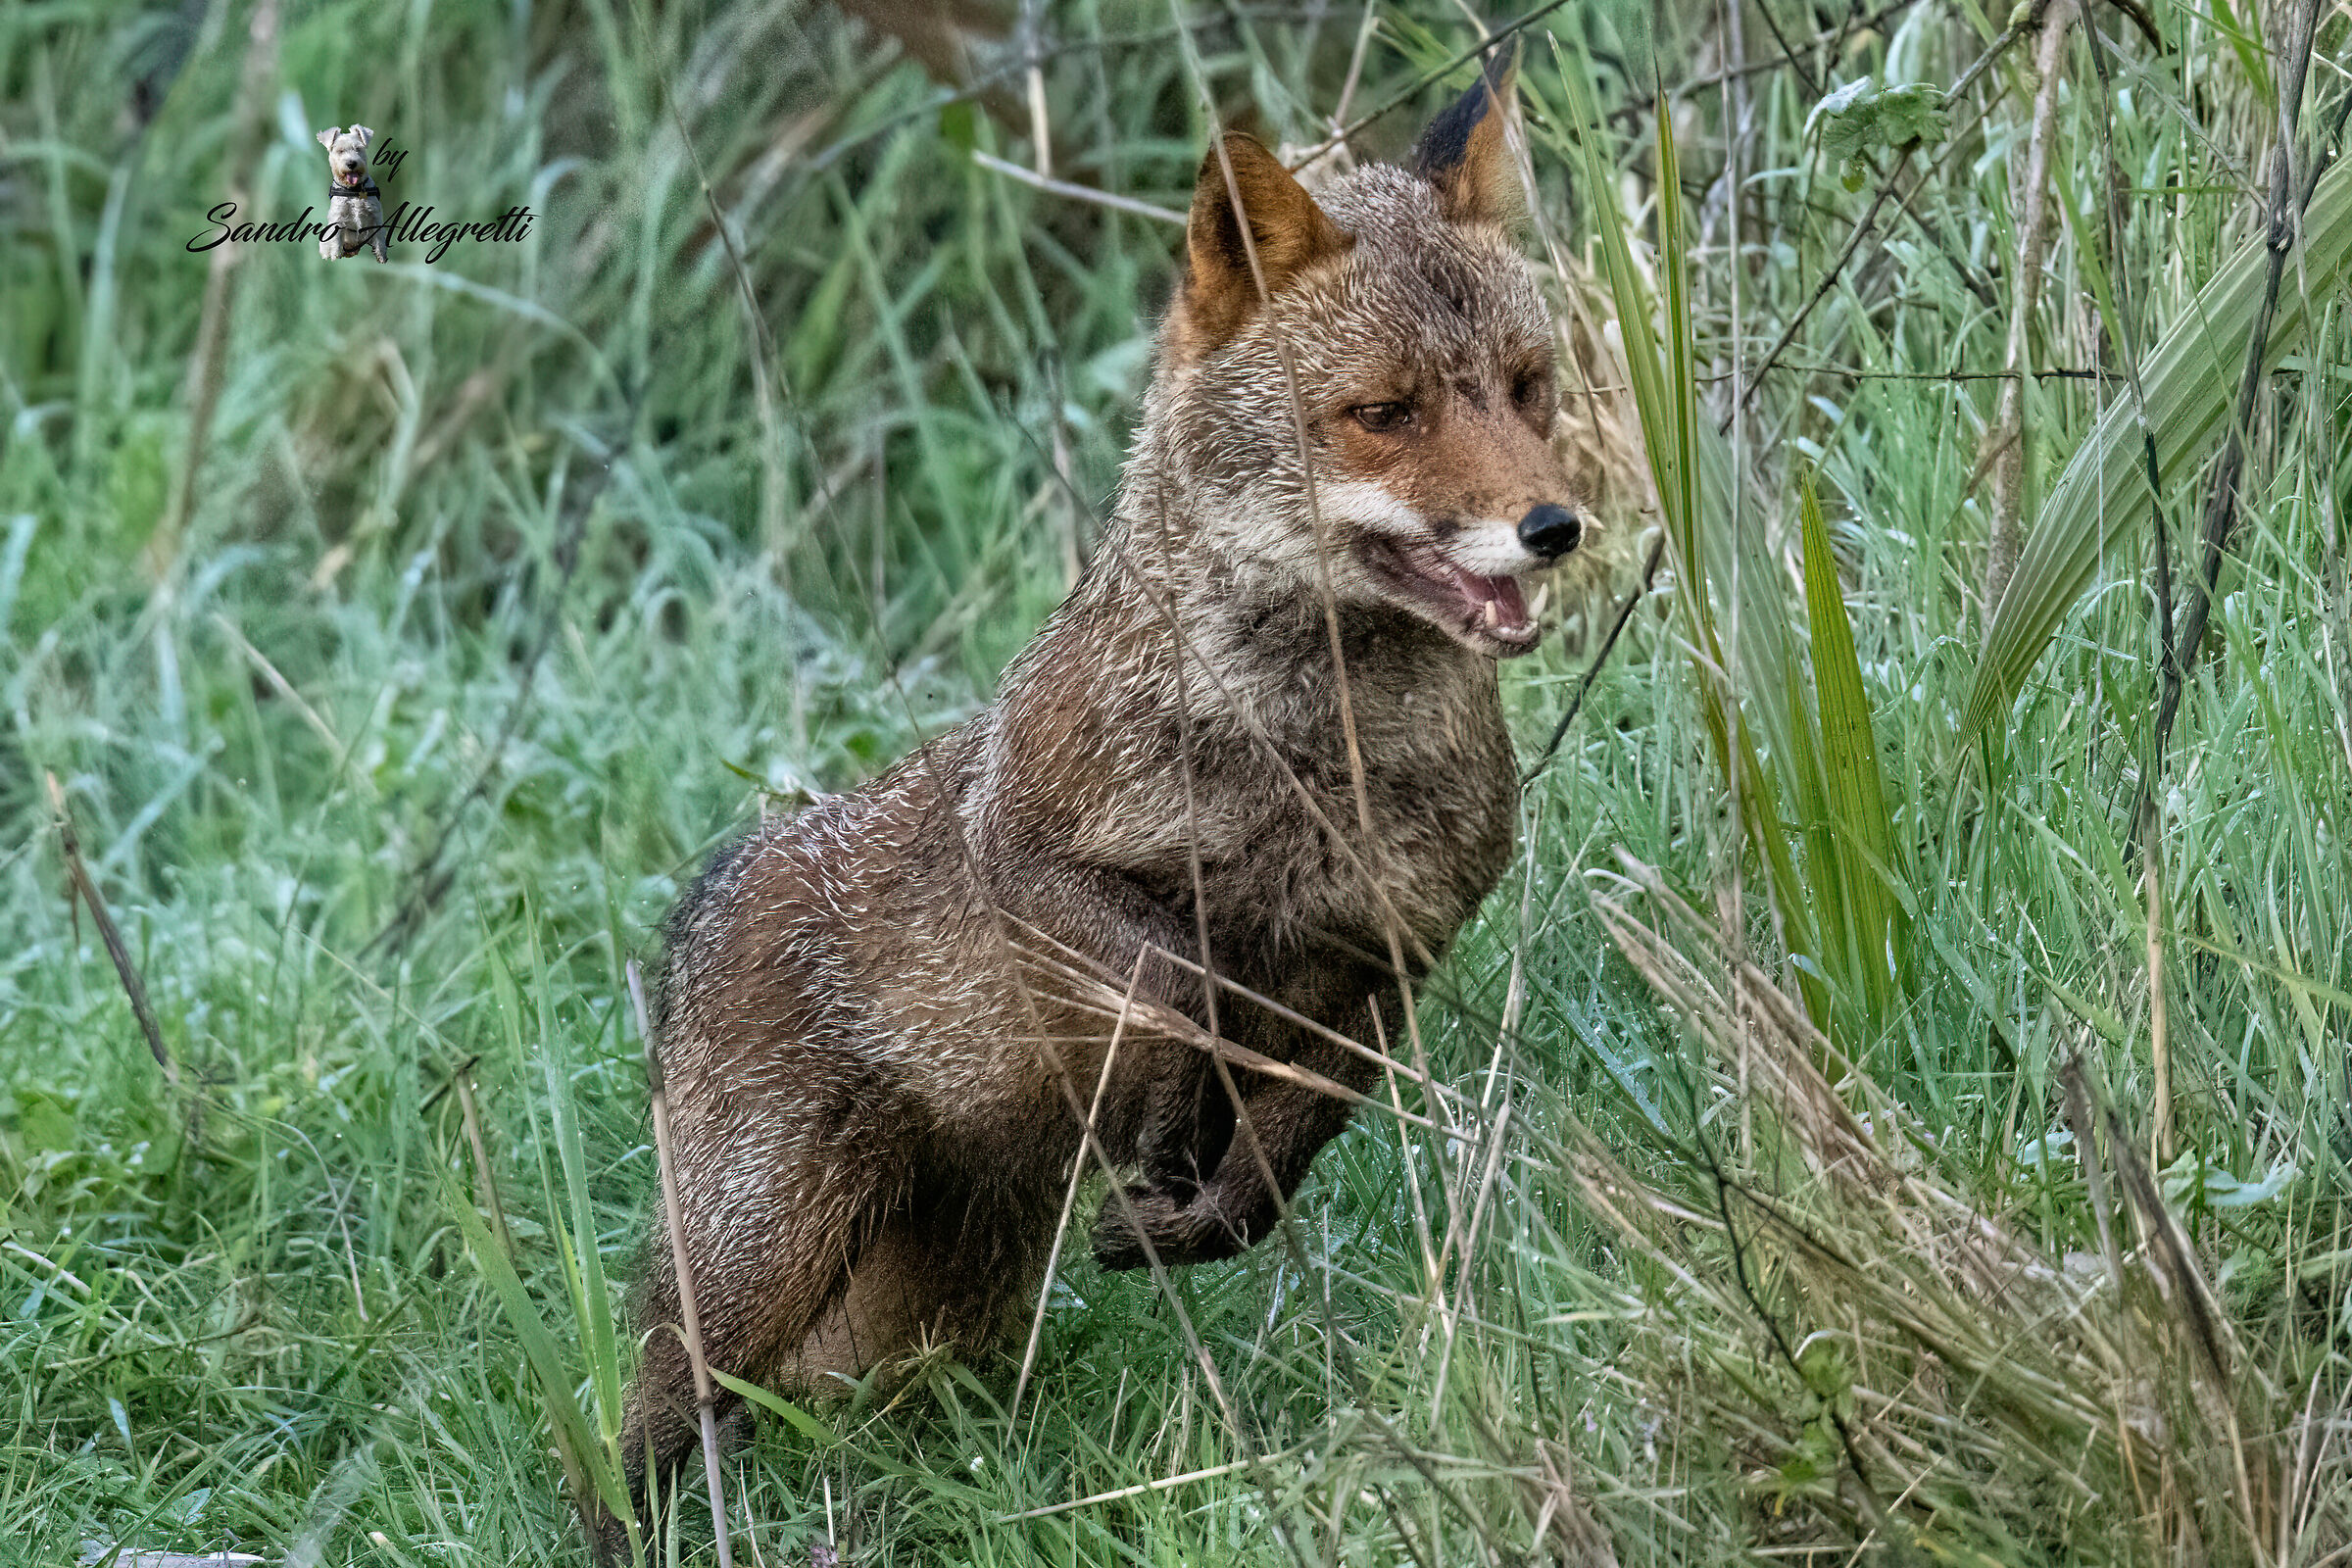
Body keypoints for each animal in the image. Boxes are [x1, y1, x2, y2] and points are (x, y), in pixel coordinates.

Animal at [591, 56, 1599, 1559]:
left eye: (1528, 390)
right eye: (1388, 412)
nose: (1552, 527)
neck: (1310, 769)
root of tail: (709, 886)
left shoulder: (1388, 959)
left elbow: (1279, 1161)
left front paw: (1191, 1218)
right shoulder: (1025, 857)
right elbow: (1177, 979)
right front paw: (1174, 1128)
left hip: (941, 1314)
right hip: (763, 1263)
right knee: (634, 1431)